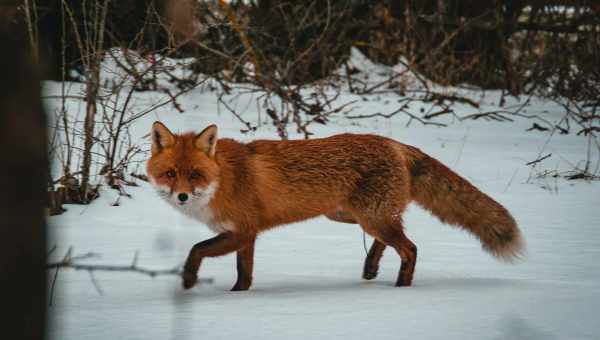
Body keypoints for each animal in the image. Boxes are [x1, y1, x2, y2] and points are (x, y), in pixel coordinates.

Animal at [148, 121, 524, 290]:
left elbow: (196, 249)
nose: (182, 196)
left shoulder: (242, 230)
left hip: (368, 216)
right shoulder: (246, 235)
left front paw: (188, 280)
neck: (223, 178)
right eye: (170, 174)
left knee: (410, 248)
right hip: (350, 215)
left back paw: (401, 289)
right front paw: (239, 295)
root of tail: (394, 143)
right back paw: (371, 269)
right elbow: (245, 273)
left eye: (195, 174)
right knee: (391, 238)